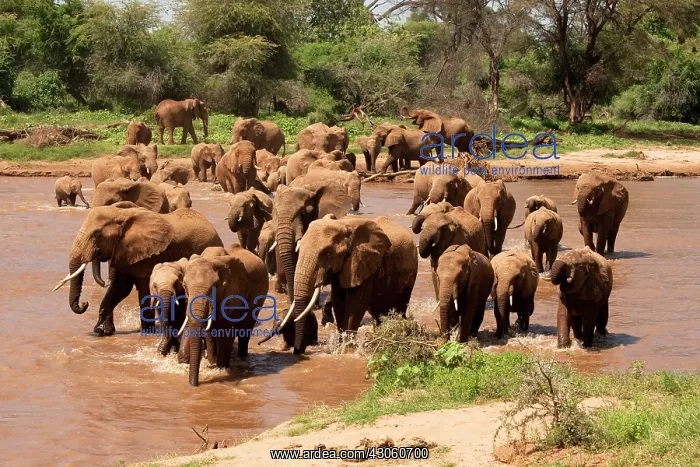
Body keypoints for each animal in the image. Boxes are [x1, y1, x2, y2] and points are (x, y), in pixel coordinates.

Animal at [52, 204, 223, 336]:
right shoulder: (123, 251)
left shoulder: (151, 254)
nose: (85, 303)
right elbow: (120, 288)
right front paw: (104, 332)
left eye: (97, 234)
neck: (122, 215)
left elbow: (143, 288)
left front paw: (147, 332)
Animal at [177, 245, 269, 386]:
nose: (194, 385)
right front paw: (212, 365)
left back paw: (242, 358)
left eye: (216, 286)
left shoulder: (232, 293)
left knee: (246, 327)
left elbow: (225, 333)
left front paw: (221, 369)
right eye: (185, 286)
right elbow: (206, 330)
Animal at [283, 216, 418, 354]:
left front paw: (347, 351)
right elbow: (338, 301)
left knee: (400, 308)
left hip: (411, 272)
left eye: (327, 254)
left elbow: (356, 304)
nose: (298, 350)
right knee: (379, 314)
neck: (343, 224)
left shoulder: (364, 263)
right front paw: (340, 349)